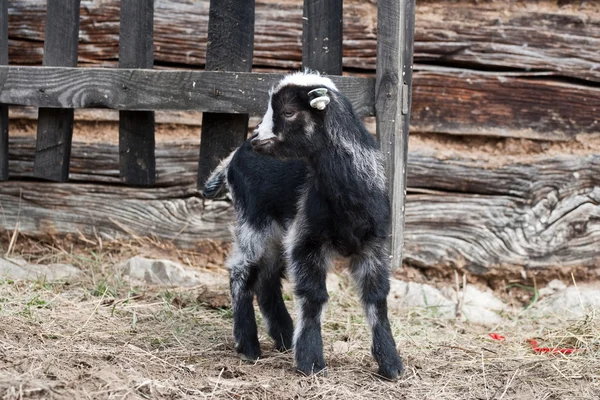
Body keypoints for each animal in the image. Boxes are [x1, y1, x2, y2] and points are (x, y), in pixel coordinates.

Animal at [202, 72, 404, 382]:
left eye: (287, 112)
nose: (256, 137)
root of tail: (233, 157)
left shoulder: (373, 245)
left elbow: (376, 298)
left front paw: (391, 364)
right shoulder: (307, 240)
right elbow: (313, 296)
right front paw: (310, 361)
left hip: (275, 232)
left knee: (267, 277)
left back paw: (284, 337)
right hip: (254, 221)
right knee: (241, 272)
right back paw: (249, 345)